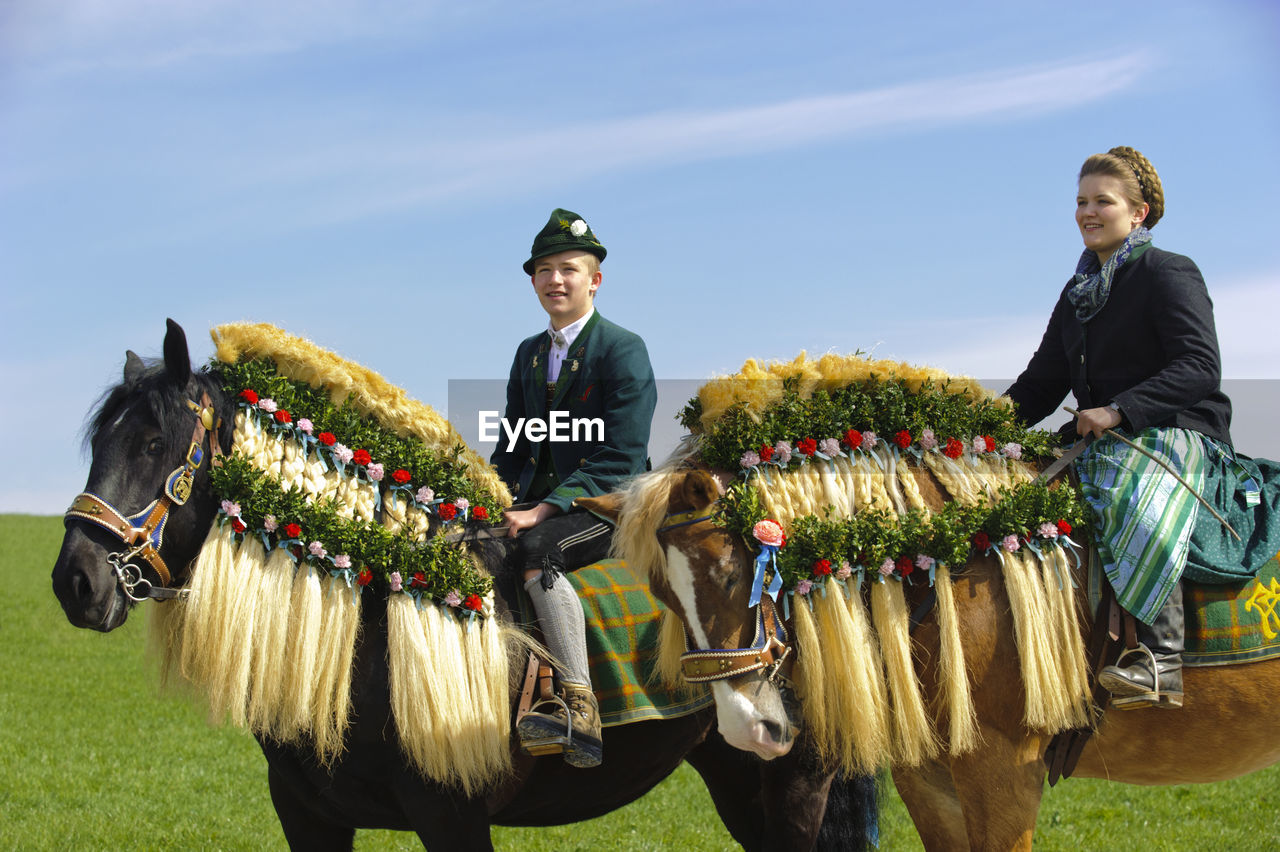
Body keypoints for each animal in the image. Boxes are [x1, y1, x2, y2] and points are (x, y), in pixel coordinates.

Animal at [47, 319, 870, 849]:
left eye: (155, 443)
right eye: (98, 445)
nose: (74, 581)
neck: (375, 630)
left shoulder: (453, 816)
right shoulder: (309, 816)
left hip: (792, 777)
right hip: (736, 774)